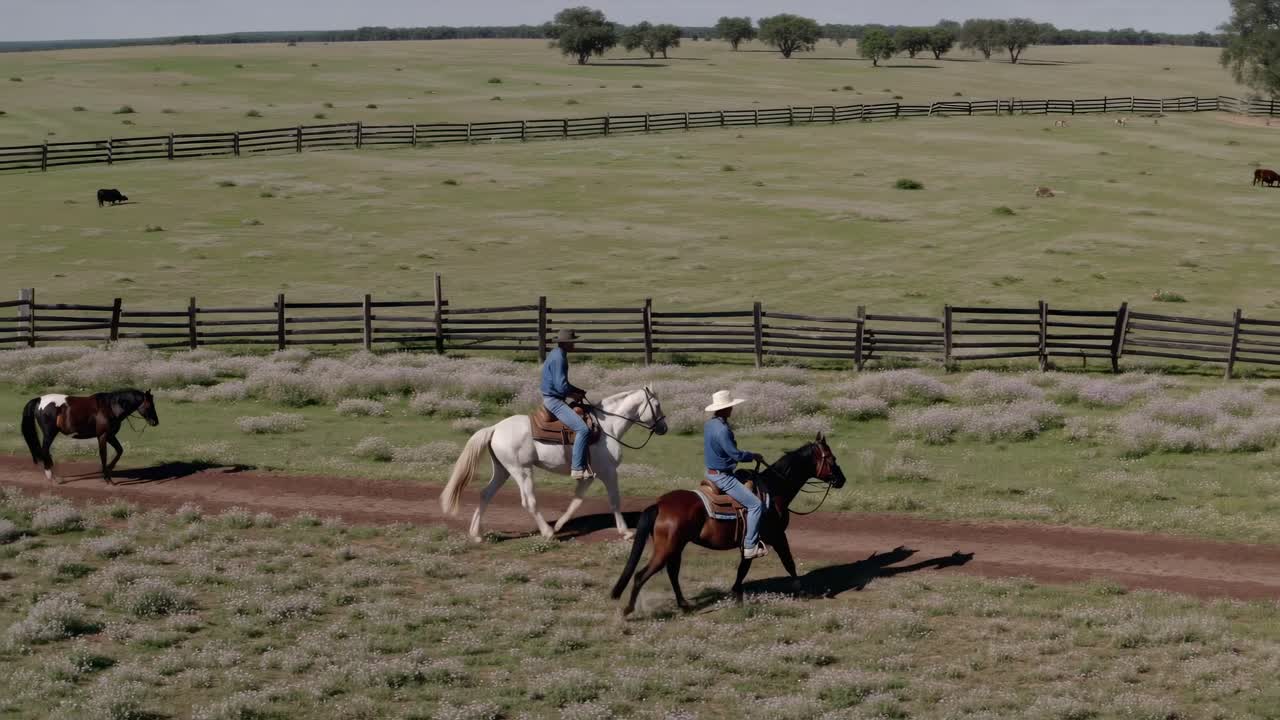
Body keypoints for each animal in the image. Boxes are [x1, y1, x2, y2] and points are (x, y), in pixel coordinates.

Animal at [21, 389, 159, 485]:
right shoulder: (103, 436)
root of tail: (39, 400)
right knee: (45, 451)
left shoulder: (110, 436)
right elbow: (103, 455)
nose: (155, 422)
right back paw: (53, 477)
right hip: (49, 433)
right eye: (149, 405)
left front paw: (109, 470)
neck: (109, 407)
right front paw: (107, 478)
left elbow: (119, 451)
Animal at [440, 386, 668, 542]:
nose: (664, 427)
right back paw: (547, 533)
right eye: (656, 406)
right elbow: (614, 500)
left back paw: (476, 534)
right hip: (522, 471)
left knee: (485, 494)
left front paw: (560, 524)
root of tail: (495, 428)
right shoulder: (609, 472)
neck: (607, 427)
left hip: (503, 471)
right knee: (529, 501)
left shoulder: (589, 475)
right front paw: (626, 531)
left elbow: (576, 501)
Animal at [611, 433, 846, 616]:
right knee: (642, 575)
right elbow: (789, 562)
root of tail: (659, 504)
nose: (842, 479)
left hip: (676, 547)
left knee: (672, 572)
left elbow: (744, 567)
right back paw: (629, 610)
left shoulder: (752, 540)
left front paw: (736, 595)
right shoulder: (777, 535)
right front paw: (802, 590)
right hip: (666, 548)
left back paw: (684, 605)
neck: (774, 489)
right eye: (831, 458)